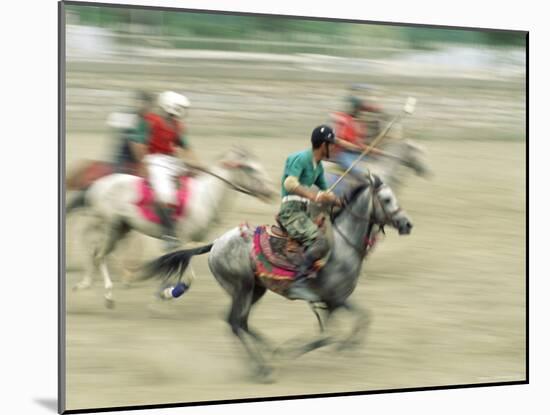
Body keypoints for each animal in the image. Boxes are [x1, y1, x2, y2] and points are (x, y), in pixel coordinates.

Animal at [67, 148, 278, 308]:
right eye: (250, 169)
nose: (271, 193)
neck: (205, 196)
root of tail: (97, 183)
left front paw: (162, 293)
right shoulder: (180, 242)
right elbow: (186, 277)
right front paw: (165, 294)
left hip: (122, 228)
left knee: (97, 252)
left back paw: (91, 285)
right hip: (111, 226)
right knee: (98, 253)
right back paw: (106, 293)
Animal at [142, 177, 414, 382]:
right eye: (386, 199)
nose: (407, 224)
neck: (342, 246)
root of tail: (216, 243)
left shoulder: (334, 301)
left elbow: (359, 320)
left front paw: (345, 346)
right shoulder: (332, 298)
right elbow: (329, 335)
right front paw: (290, 351)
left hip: (255, 290)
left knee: (241, 323)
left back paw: (266, 353)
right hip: (242, 287)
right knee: (234, 322)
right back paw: (262, 367)